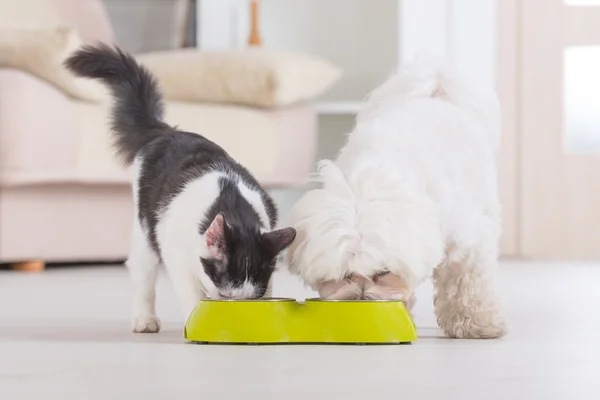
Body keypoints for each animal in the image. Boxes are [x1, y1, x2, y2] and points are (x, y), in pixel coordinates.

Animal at [286, 55, 506, 338]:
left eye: (383, 272)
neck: (373, 174)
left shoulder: (466, 241)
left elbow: (466, 281)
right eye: (344, 275)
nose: (361, 301)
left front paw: (476, 324)